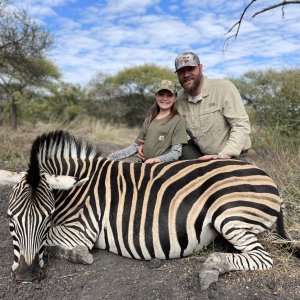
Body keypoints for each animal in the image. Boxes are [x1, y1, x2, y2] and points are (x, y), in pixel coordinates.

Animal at [0, 131, 298, 286]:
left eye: (47, 218)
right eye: (10, 219)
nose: (26, 276)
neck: (76, 189)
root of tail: (264, 174)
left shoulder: (82, 229)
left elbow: (54, 243)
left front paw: (79, 255)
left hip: (231, 214)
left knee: (261, 257)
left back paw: (211, 267)